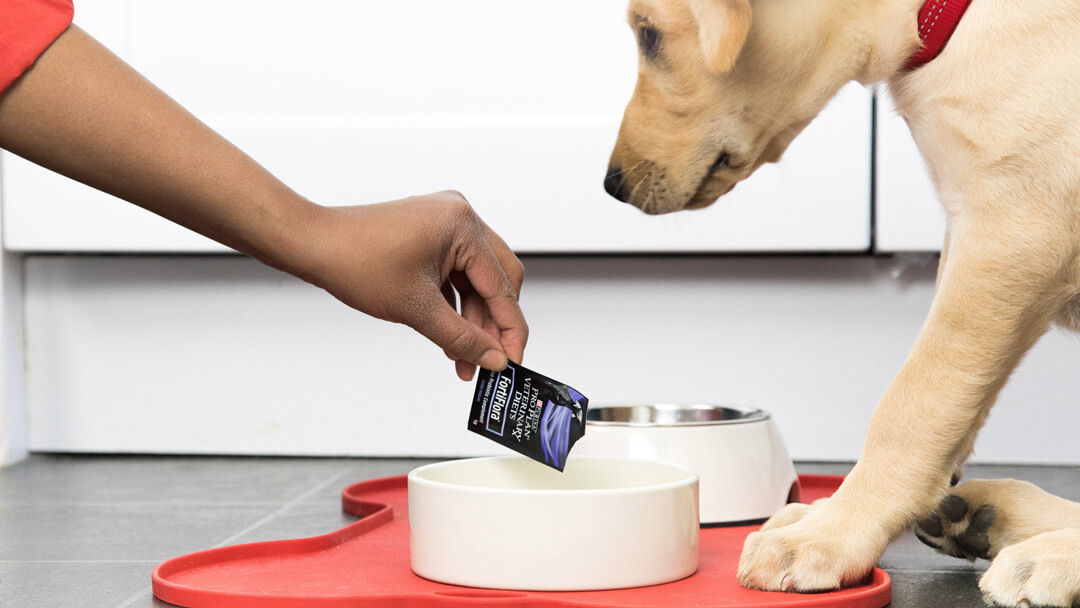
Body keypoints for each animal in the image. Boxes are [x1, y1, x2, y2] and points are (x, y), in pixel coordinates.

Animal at [609, 0, 1080, 604]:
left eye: (648, 35)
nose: (612, 185)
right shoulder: (966, 226)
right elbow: (955, 407)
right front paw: (824, 512)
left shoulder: (1013, 231)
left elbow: (914, 402)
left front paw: (833, 532)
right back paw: (988, 514)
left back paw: (1044, 552)